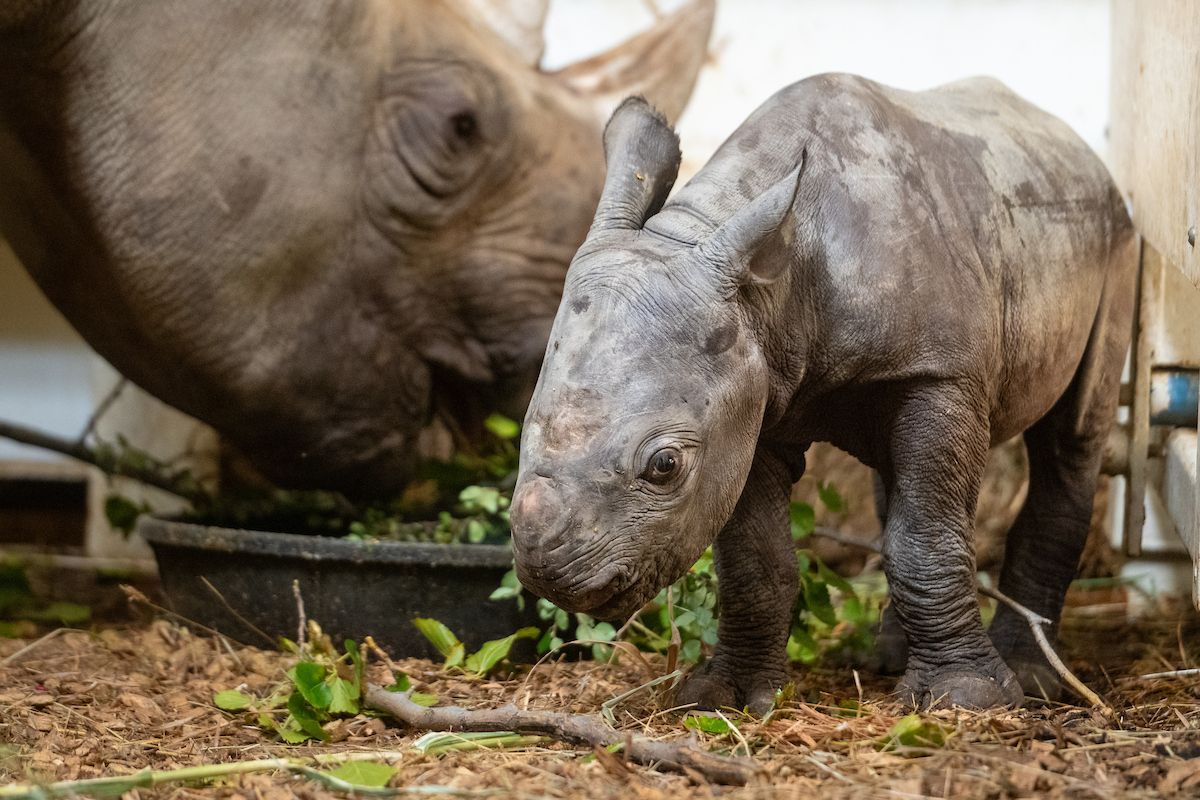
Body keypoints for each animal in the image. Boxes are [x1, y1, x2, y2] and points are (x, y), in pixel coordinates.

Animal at [509, 75, 1136, 712]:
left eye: (665, 466)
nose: (552, 576)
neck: (768, 287)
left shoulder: (939, 373)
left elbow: (926, 539)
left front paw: (968, 698)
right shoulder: (749, 398)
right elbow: (755, 560)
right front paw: (725, 698)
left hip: (1113, 235)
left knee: (1070, 438)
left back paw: (1036, 679)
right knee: (896, 482)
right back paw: (888, 659)